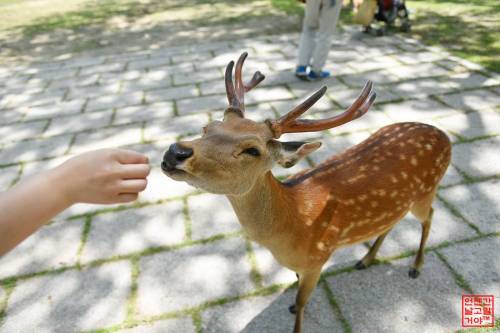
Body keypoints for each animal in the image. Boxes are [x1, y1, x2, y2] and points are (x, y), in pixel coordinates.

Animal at [162, 52, 452, 332]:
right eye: (207, 127)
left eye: (252, 150)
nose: (176, 152)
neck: (291, 229)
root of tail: (445, 135)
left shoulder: (318, 259)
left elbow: (302, 301)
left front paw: (296, 315)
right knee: (392, 221)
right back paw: (366, 259)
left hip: (427, 190)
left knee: (430, 216)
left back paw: (415, 267)